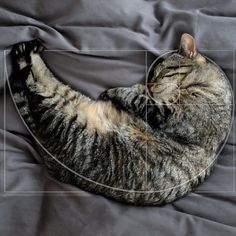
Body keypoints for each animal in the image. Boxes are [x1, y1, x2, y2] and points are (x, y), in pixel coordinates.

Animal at [9, 34, 232, 206]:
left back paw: (24, 54)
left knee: (34, 84)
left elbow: (135, 98)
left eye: (162, 72)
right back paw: (29, 51)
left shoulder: (168, 114)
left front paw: (116, 91)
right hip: (66, 99)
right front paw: (137, 88)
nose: (150, 85)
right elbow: (140, 95)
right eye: (151, 75)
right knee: (43, 79)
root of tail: (46, 149)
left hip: (63, 115)